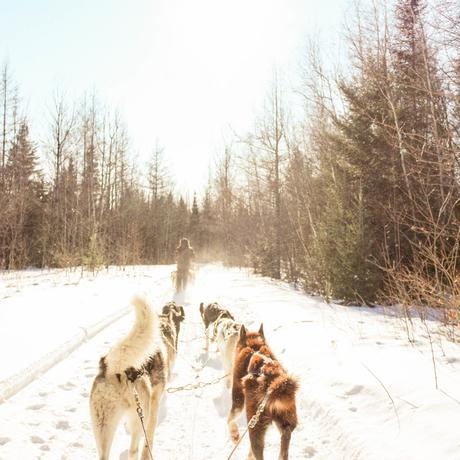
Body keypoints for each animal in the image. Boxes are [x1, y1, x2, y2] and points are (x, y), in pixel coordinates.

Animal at [89, 296, 184, 458]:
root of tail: (115, 367)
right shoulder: (154, 403)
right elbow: (149, 438)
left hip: (102, 426)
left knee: (104, 454)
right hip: (140, 416)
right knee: (133, 449)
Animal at [229, 324, 300, 460]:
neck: (254, 347)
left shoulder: (238, 396)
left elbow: (230, 418)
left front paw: (234, 435)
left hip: (254, 426)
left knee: (257, 449)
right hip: (286, 417)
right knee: (286, 436)